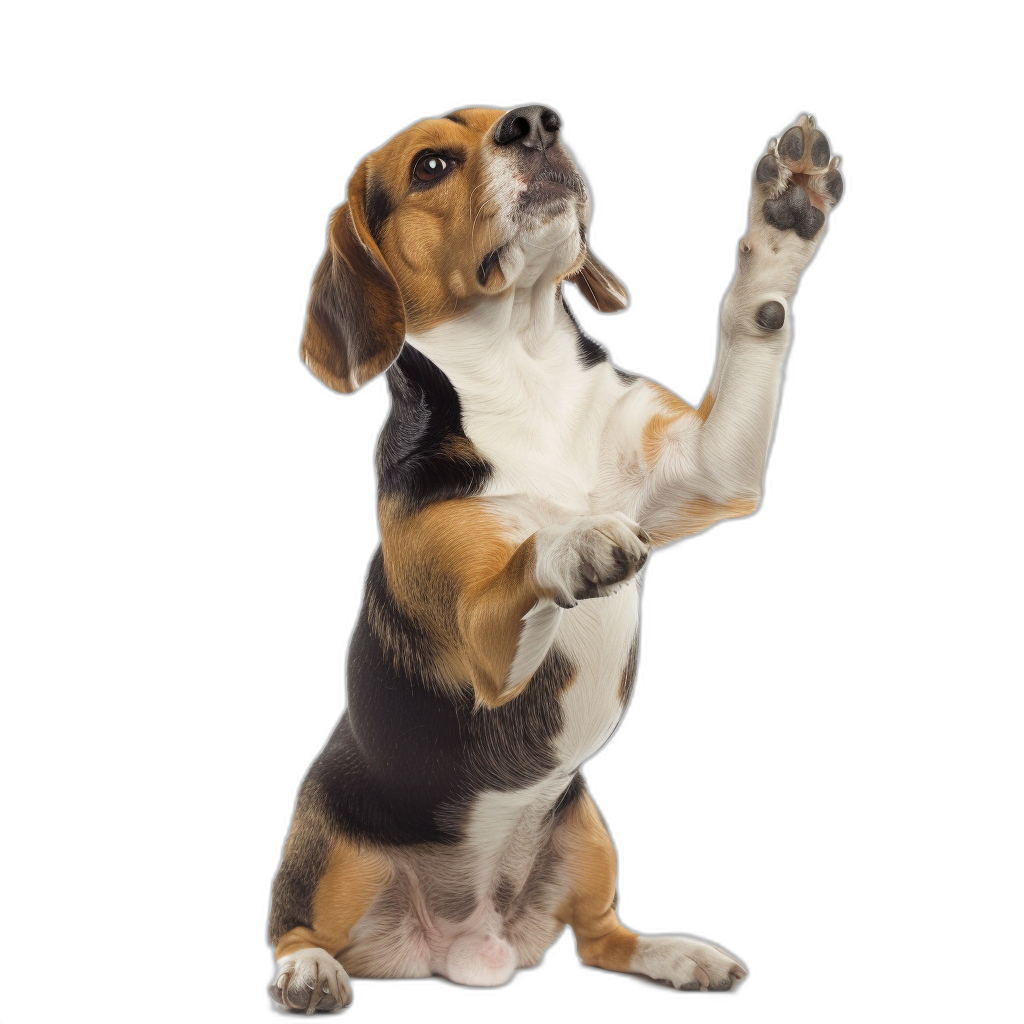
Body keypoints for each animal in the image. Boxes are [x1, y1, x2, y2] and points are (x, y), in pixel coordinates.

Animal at [268, 99, 843, 1011]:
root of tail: (466, 944)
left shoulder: (714, 469)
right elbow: (525, 551)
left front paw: (784, 218)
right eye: (431, 165)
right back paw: (308, 973)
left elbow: (750, 321)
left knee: (602, 939)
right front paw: (577, 537)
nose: (535, 124)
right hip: (326, 845)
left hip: (585, 830)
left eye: (518, 116)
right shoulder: (483, 645)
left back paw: (678, 957)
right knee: (293, 928)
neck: (522, 366)